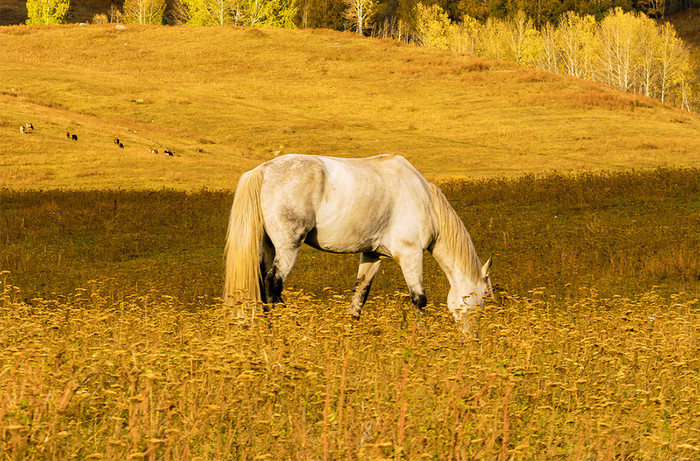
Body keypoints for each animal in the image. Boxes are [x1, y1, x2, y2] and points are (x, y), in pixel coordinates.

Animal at [224, 155, 492, 328]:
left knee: (265, 285)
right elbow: (419, 299)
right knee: (273, 284)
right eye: (481, 301)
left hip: (268, 247)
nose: (473, 340)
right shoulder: (411, 254)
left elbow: (359, 297)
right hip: (288, 247)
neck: (425, 200)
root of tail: (263, 171)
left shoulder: (372, 255)